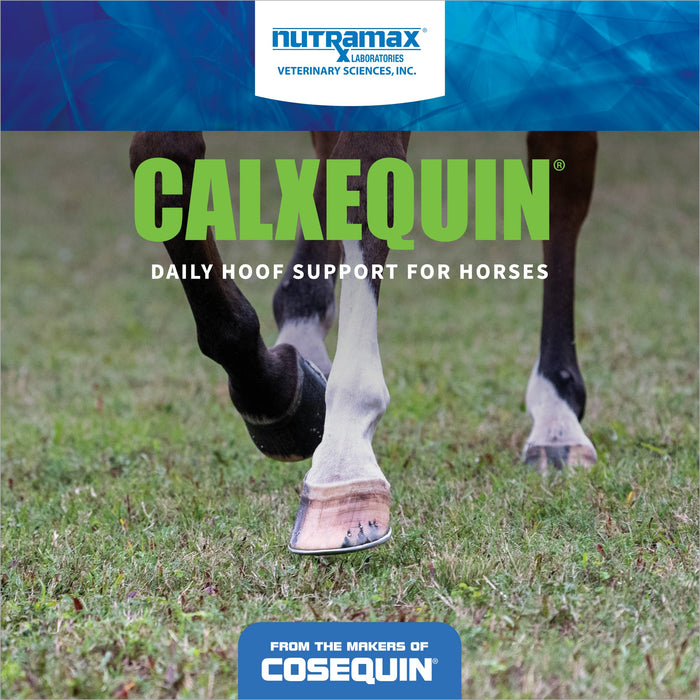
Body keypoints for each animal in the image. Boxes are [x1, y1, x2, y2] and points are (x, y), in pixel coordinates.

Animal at [129, 130, 598, 554]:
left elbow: (364, 172)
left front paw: (342, 470)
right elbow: (163, 155)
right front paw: (278, 392)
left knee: (562, 182)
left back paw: (556, 414)